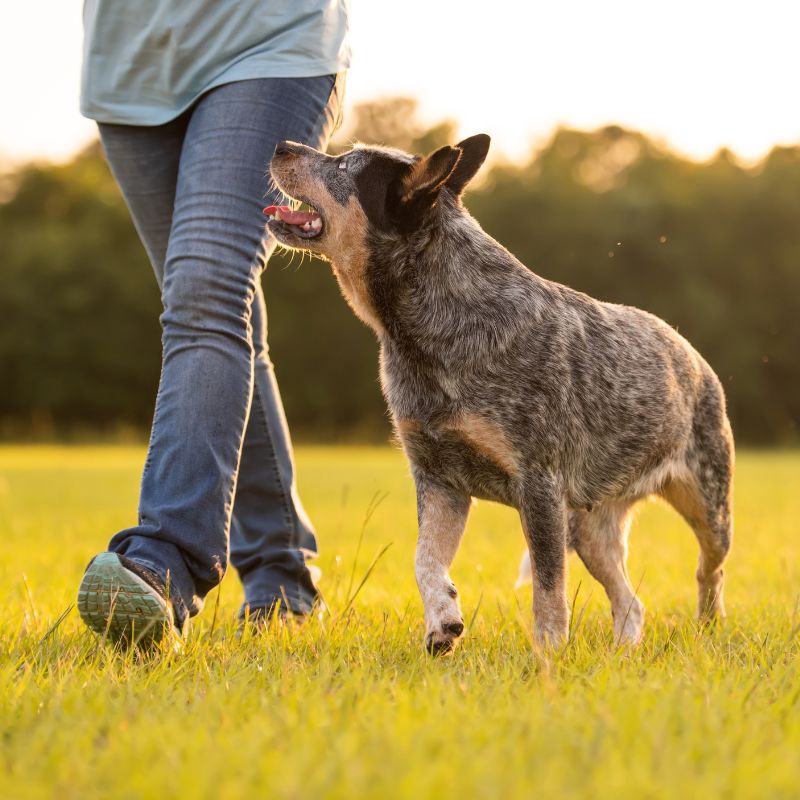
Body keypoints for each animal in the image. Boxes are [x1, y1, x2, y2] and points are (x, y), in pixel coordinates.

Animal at [266, 134, 736, 652]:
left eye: (345, 165)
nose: (282, 144)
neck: (432, 328)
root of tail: (692, 353)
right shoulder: (439, 479)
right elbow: (424, 560)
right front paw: (443, 622)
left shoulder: (539, 485)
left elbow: (549, 590)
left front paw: (549, 658)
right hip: (589, 527)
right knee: (631, 603)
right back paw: (624, 654)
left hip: (709, 505)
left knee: (709, 571)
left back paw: (708, 626)